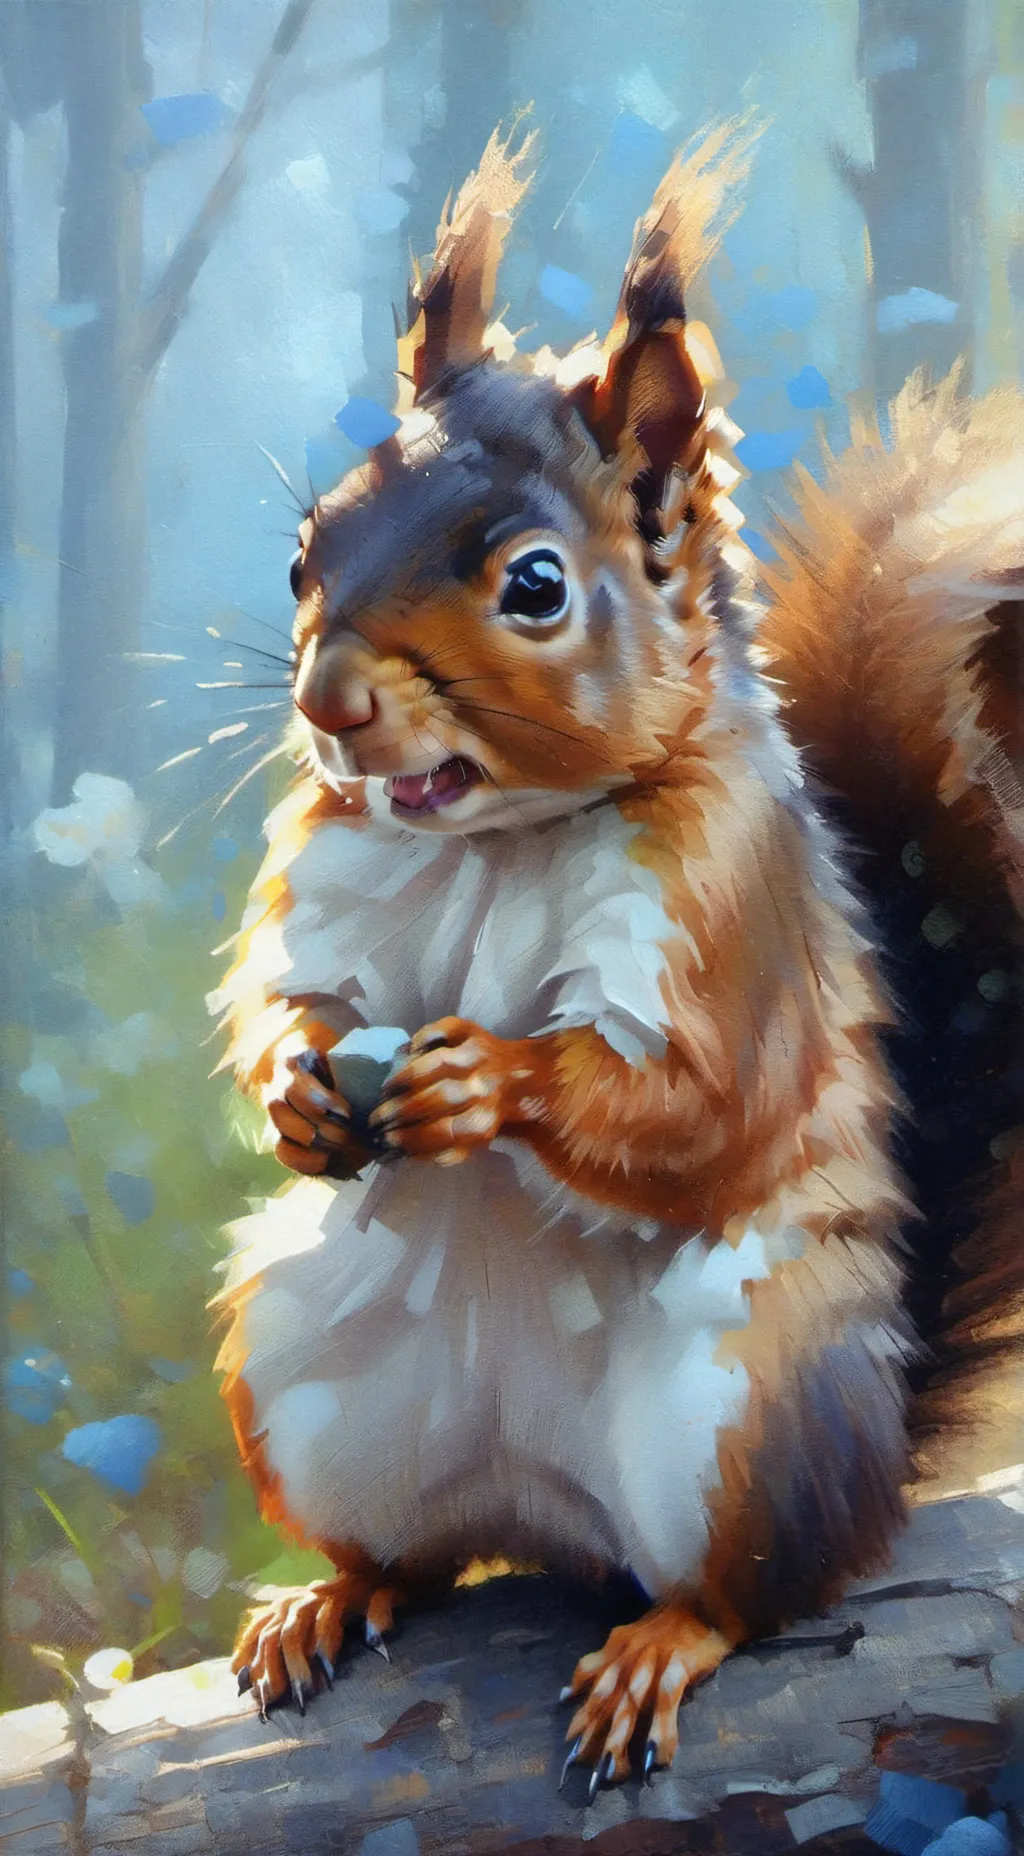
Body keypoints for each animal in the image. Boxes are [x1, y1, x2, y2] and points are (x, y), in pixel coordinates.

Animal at [210, 120, 1024, 1790]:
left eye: (536, 584)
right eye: (307, 552)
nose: (328, 705)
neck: (500, 830)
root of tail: (554, 1519)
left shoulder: (734, 918)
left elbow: (702, 1104)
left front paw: (489, 1084)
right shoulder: (320, 877)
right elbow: (282, 1002)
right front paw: (299, 1091)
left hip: (751, 1411)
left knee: (752, 1588)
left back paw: (663, 1643)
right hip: (301, 1372)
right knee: (410, 1555)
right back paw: (327, 1598)